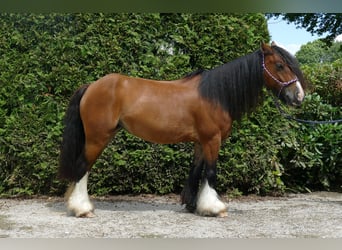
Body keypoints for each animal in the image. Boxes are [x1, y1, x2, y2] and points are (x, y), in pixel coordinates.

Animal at [58, 42, 304, 217]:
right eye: (280, 65)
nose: (299, 96)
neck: (215, 95)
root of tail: (91, 86)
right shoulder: (212, 140)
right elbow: (211, 173)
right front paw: (214, 208)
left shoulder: (200, 142)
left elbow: (196, 171)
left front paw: (192, 205)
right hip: (98, 138)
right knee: (82, 168)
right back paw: (82, 209)